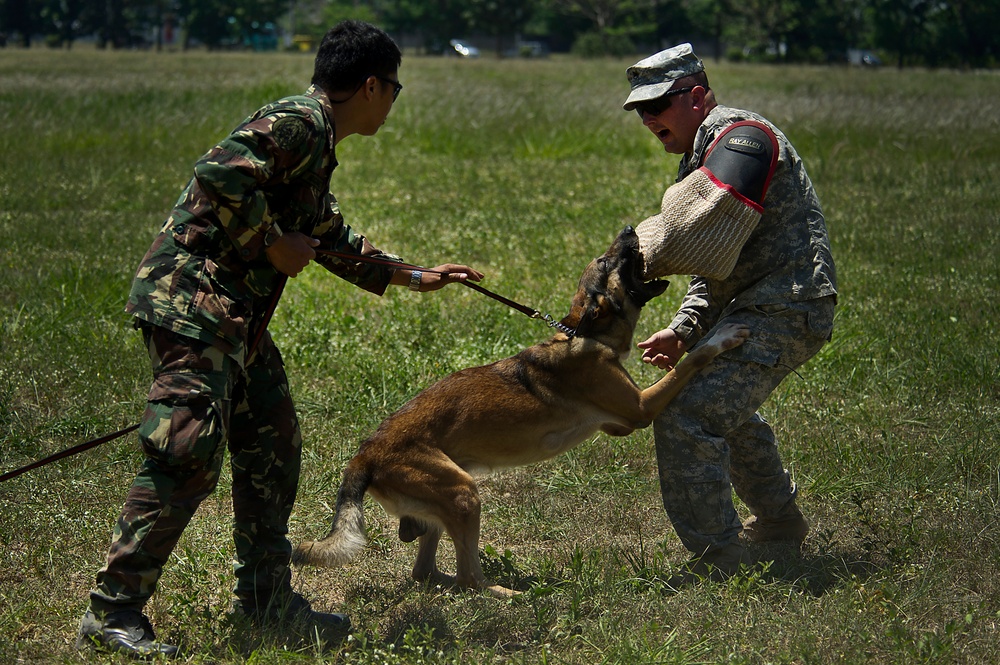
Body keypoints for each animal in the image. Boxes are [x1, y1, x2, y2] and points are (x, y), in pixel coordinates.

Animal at [292, 227, 748, 596]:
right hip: (463, 494)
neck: (586, 334)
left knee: (427, 573)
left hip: (444, 503)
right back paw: (510, 592)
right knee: (469, 578)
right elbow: (692, 359)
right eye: (606, 262)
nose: (628, 229)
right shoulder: (641, 408)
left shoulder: (618, 422)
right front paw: (724, 334)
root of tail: (363, 455)